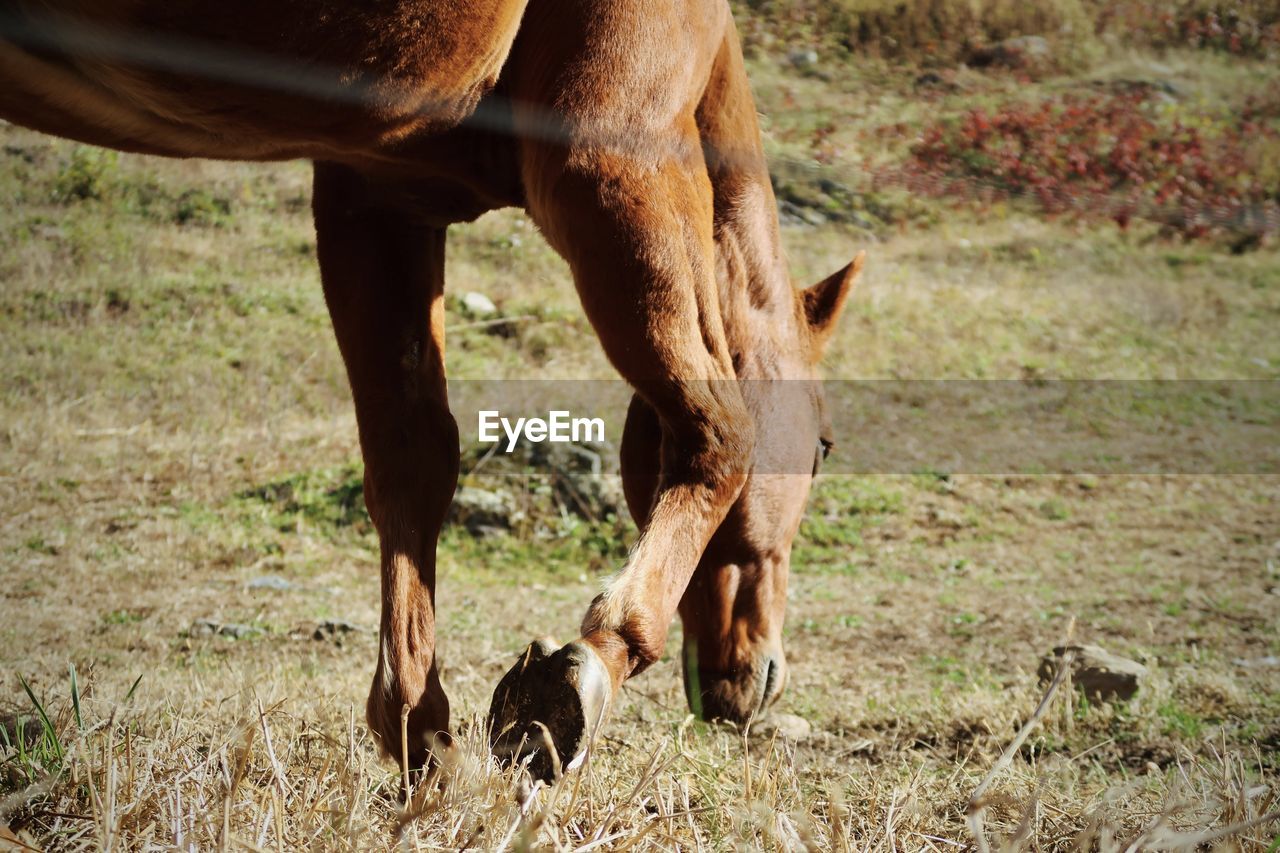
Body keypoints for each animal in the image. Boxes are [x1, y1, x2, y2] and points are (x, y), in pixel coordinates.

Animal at [0, 0, 865, 773]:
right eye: (824, 447)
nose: (758, 684)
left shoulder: (376, 194)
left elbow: (411, 461)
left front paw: (419, 724)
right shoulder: (610, 152)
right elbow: (720, 431)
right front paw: (593, 660)